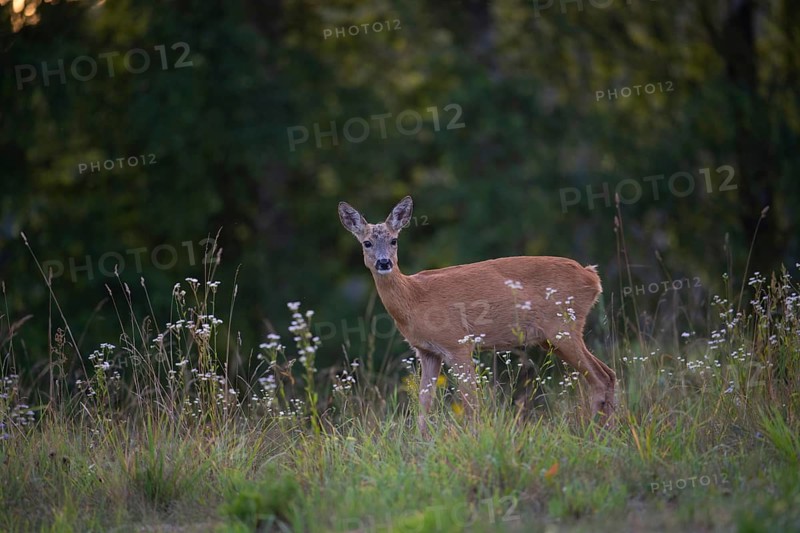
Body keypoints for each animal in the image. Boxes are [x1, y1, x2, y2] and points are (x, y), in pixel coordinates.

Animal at [338, 196, 615, 436]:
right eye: (367, 243)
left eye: (394, 240)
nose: (384, 263)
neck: (413, 298)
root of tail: (592, 277)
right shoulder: (427, 352)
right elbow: (424, 404)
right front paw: (420, 445)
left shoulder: (457, 342)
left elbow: (471, 403)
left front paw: (475, 439)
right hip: (552, 337)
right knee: (608, 374)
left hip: (563, 325)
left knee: (601, 377)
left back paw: (595, 434)